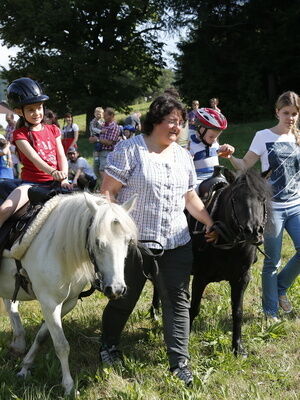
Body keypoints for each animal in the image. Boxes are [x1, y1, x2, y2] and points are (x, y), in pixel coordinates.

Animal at [0, 192, 138, 396]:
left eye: (128, 241)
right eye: (98, 242)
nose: (117, 289)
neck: (57, 247)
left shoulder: (67, 303)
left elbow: (42, 336)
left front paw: (25, 367)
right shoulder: (49, 303)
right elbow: (61, 345)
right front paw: (69, 386)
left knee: (11, 305)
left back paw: (18, 341)